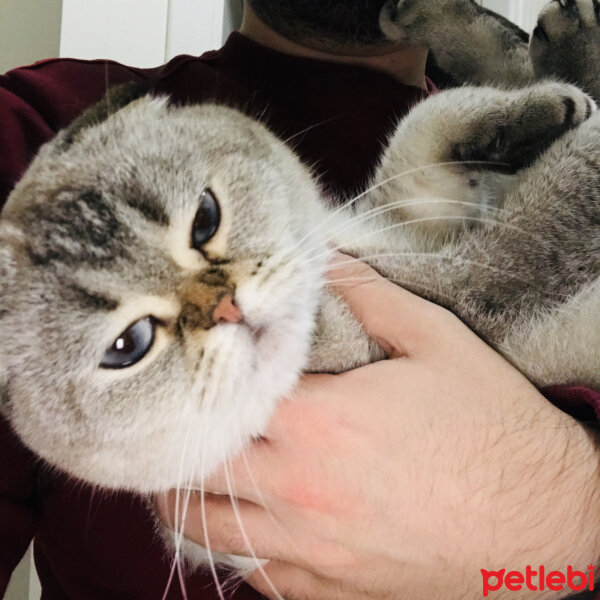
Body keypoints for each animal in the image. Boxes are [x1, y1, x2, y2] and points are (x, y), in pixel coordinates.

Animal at [0, 0, 596, 576]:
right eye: (128, 346)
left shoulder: (416, 214)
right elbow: (551, 209)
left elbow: (430, 120)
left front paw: (553, 105)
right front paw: (578, 125)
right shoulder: (468, 283)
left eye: (205, 219)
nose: (225, 304)